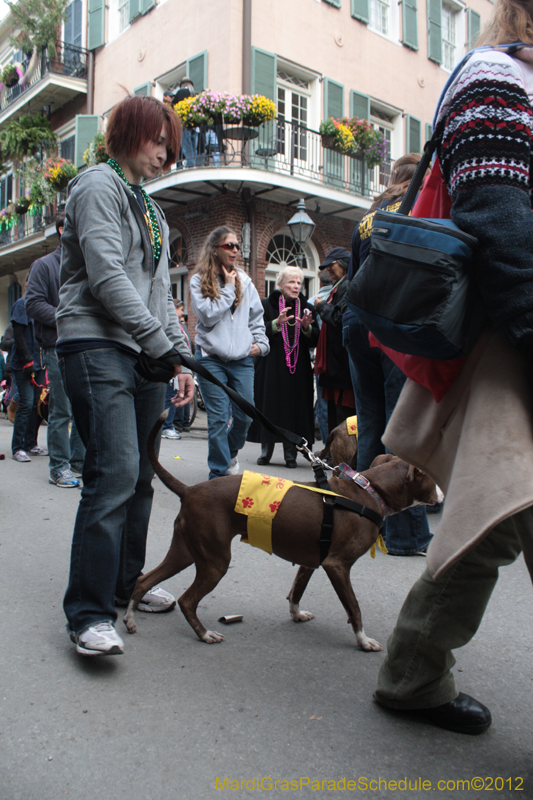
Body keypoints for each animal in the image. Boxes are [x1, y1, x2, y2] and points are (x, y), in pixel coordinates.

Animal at [124, 416, 440, 652]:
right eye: (433, 477)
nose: (443, 491)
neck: (370, 492)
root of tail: (190, 490)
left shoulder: (312, 561)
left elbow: (296, 592)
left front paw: (297, 614)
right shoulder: (337, 565)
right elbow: (354, 607)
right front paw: (363, 641)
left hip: (186, 550)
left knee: (143, 580)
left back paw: (130, 619)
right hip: (214, 561)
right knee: (187, 600)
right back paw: (204, 634)